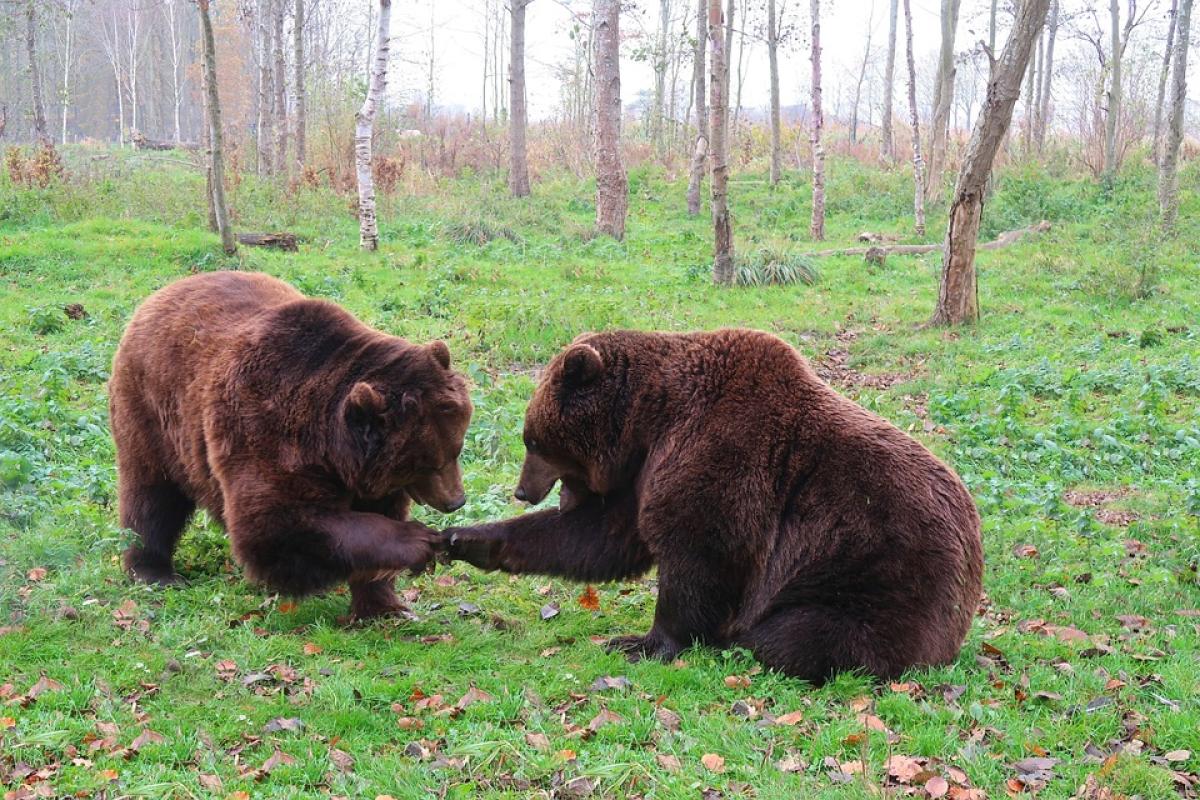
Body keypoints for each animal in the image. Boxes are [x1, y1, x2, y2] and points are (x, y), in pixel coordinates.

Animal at [110, 272, 470, 623]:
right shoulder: (267, 432)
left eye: (456, 449)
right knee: (152, 496)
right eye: (428, 463)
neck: (331, 448)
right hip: (153, 414)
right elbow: (277, 526)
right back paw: (153, 570)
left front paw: (385, 606)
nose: (456, 500)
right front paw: (417, 541)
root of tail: (162, 292)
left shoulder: (368, 475)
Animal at [446, 331, 979, 681]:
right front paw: (467, 539)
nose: (522, 491)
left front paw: (641, 642)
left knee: (799, 637)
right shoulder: (645, 474)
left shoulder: (721, 456)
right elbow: (602, 537)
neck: (650, 419)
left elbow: (700, 554)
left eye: (532, 440)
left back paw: (745, 640)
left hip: (875, 577)